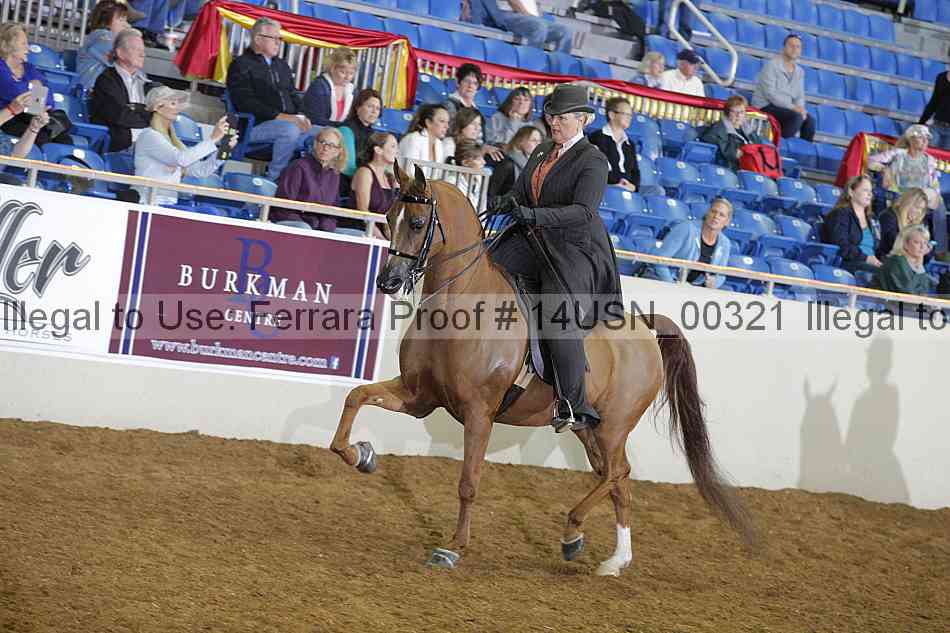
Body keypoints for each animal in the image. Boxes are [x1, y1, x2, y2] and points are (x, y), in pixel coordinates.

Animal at [330, 164, 757, 575]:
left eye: (418, 222)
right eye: (389, 217)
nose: (388, 281)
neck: (460, 305)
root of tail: (644, 327)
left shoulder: (479, 413)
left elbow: (468, 482)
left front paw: (452, 548)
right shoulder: (418, 397)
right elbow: (355, 397)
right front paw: (361, 455)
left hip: (614, 426)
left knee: (617, 473)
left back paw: (573, 534)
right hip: (589, 427)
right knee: (617, 481)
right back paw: (614, 561)